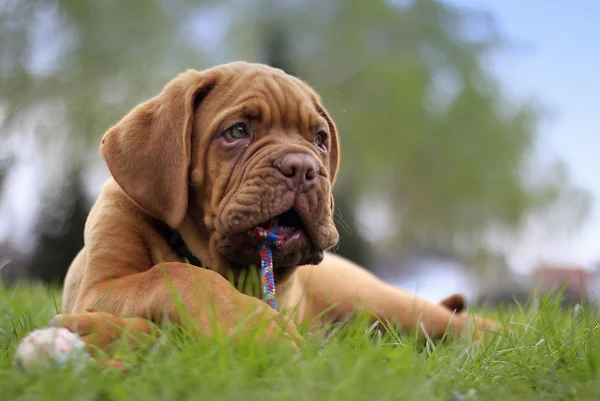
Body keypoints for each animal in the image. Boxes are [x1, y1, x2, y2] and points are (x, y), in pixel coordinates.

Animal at [55, 61, 496, 352]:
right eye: (236, 131)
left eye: (319, 139)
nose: (303, 169)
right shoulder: (97, 288)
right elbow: (176, 274)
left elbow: (175, 274)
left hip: (378, 301)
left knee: (452, 320)